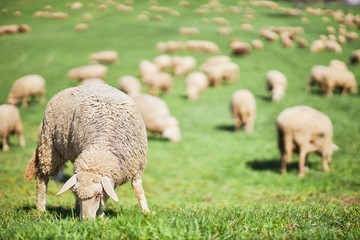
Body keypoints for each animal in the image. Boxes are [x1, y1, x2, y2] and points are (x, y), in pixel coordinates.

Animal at [23, 84, 150, 219]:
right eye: (76, 194)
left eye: (98, 194)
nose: (86, 220)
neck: (103, 144)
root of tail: (71, 88)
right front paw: (100, 216)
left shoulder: (136, 168)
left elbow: (138, 190)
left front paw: (146, 212)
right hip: (49, 146)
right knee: (42, 178)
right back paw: (41, 209)